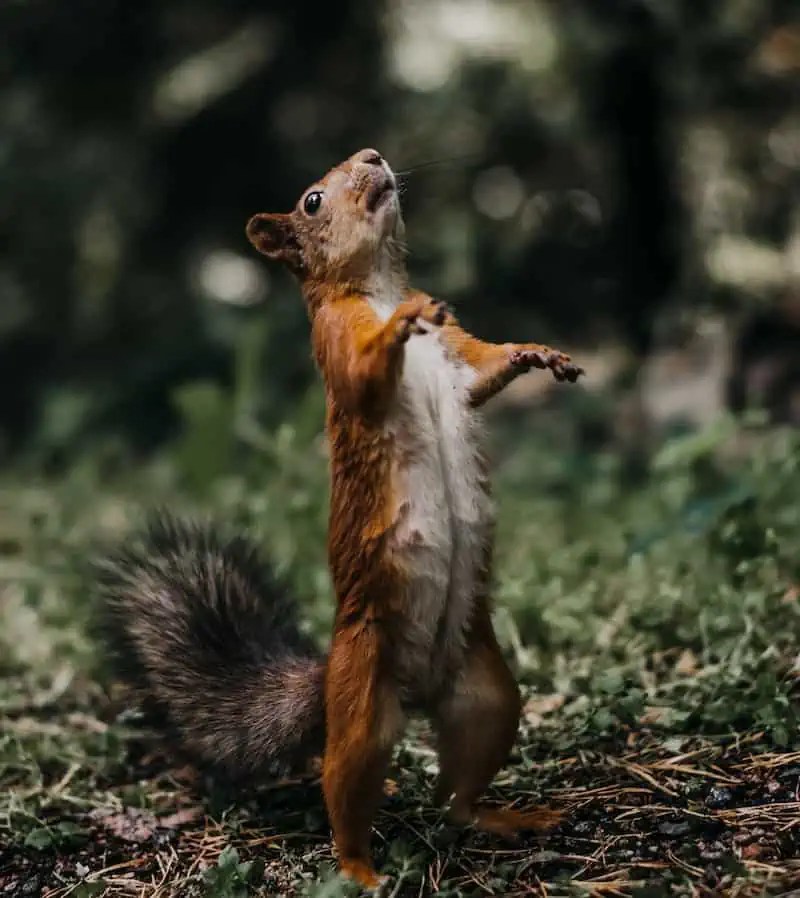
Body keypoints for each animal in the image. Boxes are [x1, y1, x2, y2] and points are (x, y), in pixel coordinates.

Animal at [98, 148, 584, 890]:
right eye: (312, 201)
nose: (373, 157)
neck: (376, 284)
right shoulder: (335, 342)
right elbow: (362, 373)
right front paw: (402, 321)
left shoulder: (457, 354)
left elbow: (483, 370)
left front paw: (537, 353)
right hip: (362, 706)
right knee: (344, 785)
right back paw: (359, 868)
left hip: (488, 697)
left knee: (457, 795)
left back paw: (502, 817)